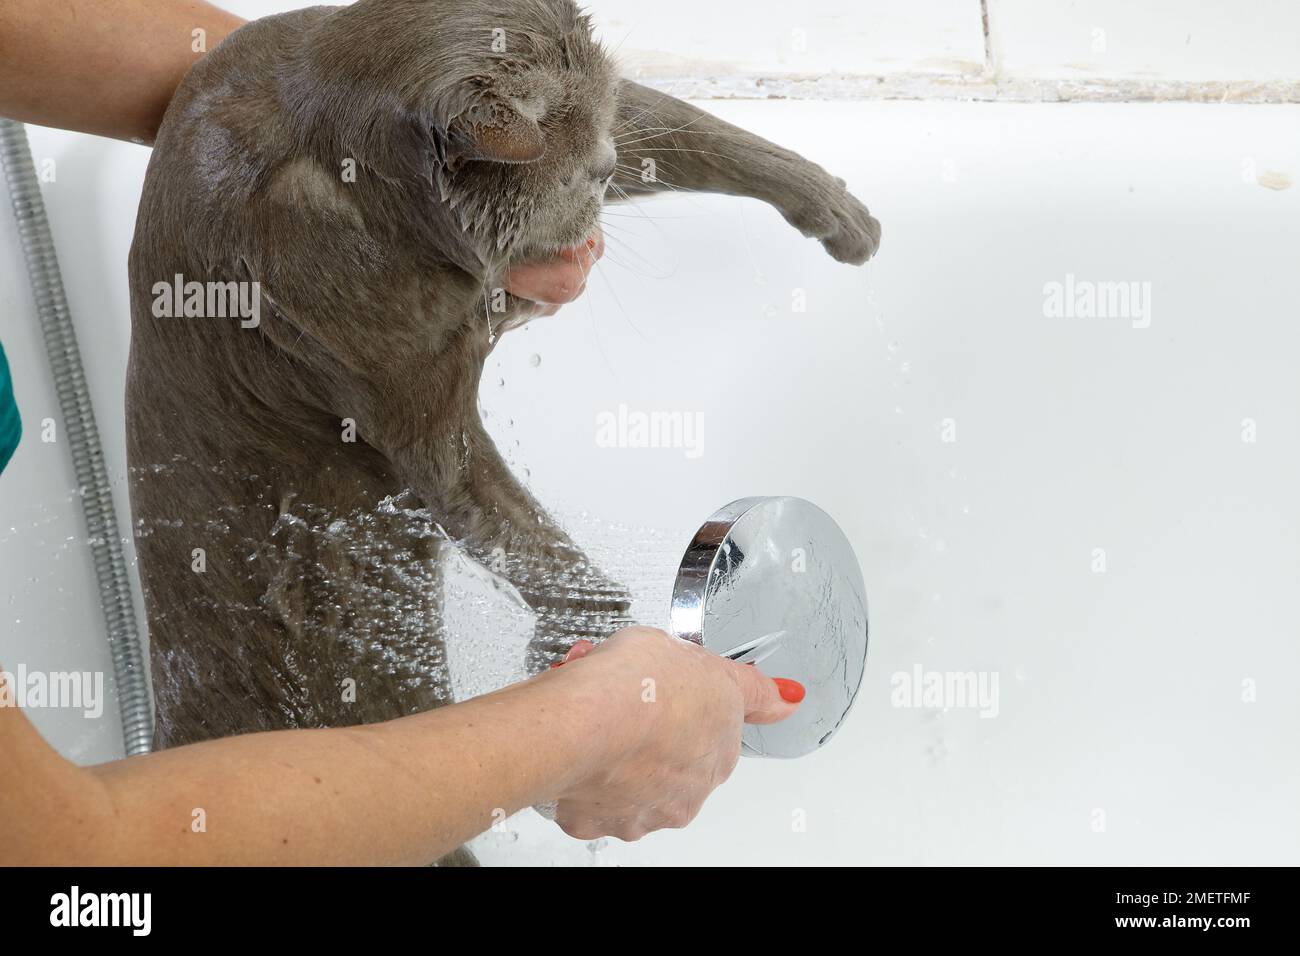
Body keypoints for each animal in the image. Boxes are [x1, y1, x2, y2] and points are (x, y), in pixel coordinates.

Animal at [126, 0, 878, 848]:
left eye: (601, 155)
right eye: (582, 170)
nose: (605, 165)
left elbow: (680, 128)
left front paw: (837, 209)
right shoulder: (378, 357)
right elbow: (492, 510)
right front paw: (594, 637)